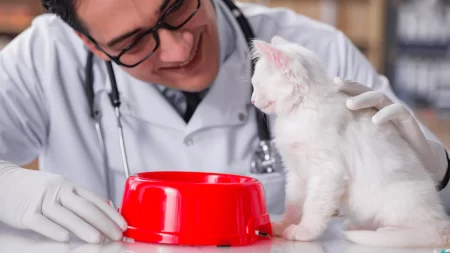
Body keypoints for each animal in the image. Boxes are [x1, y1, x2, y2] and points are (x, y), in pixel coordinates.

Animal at [250, 35, 450, 247]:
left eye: (257, 84)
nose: (253, 100)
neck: (301, 109)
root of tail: (442, 223)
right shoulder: (296, 171)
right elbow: (293, 204)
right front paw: (284, 224)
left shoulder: (327, 170)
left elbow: (314, 206)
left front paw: (304, 231)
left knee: (422, 231)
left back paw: (385, 231)